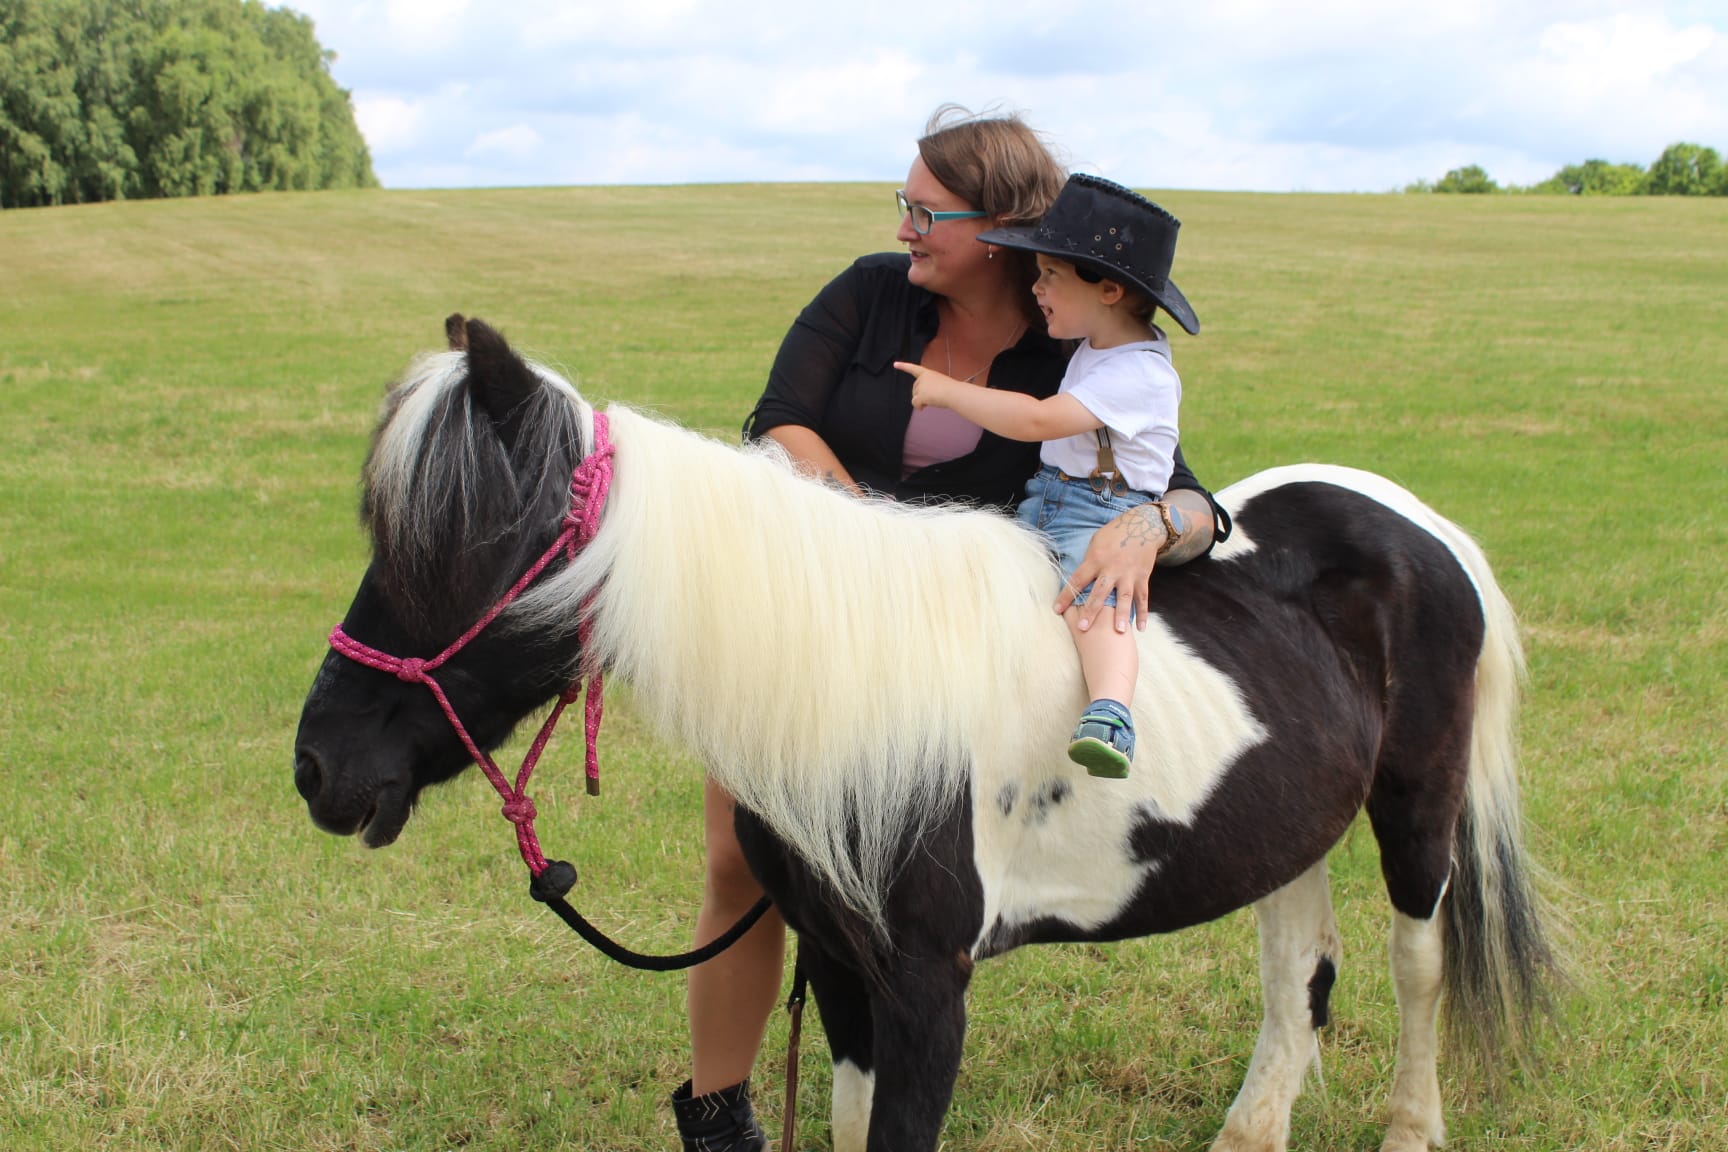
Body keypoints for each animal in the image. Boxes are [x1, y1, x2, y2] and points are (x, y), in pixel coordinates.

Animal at [293, 317, 1555, 1152]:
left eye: (458, 550)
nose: (320, 767)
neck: (854, 690)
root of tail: (1417, 524)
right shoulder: (840, 969)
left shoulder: (927, 990)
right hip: (1289, 821)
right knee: (1296, 961)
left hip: (1417, 809)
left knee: (1416, 964)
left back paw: (1411, 1127)